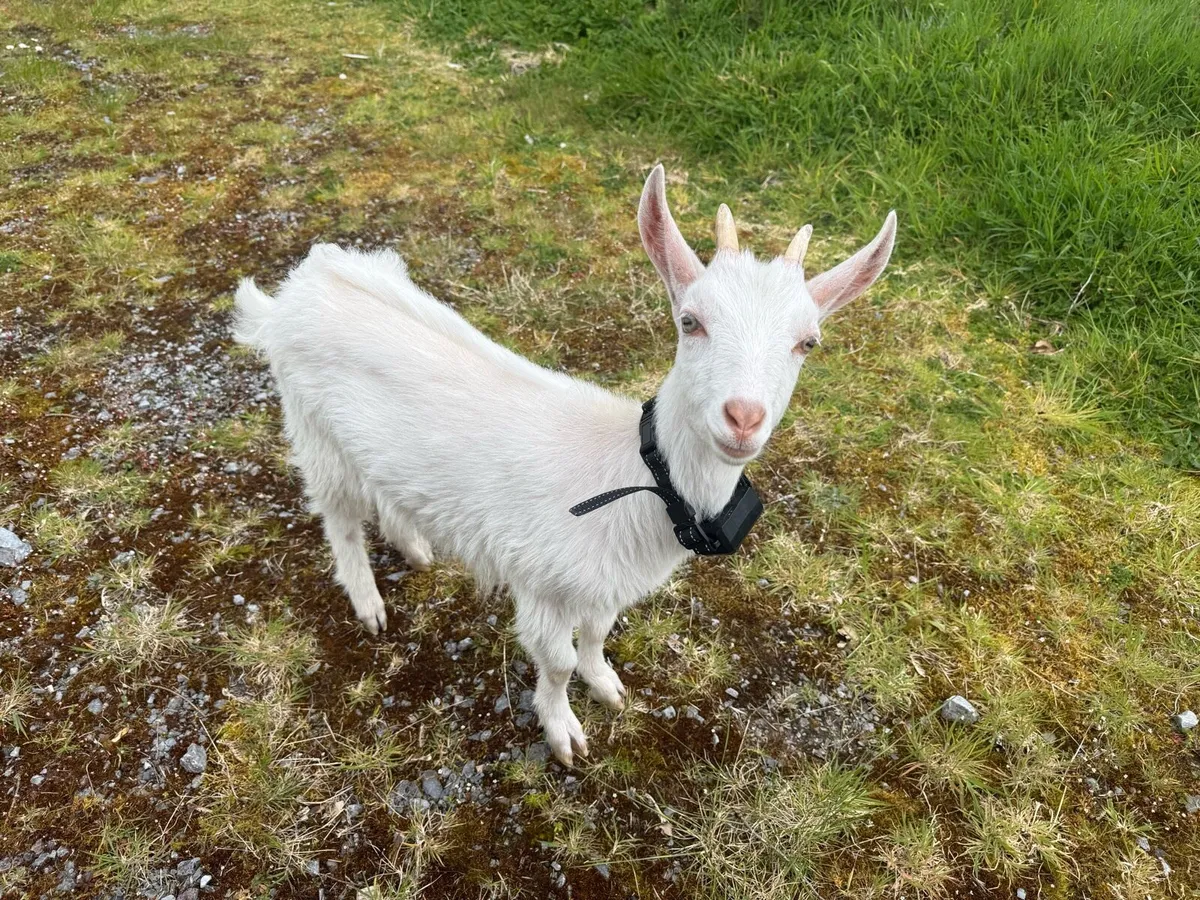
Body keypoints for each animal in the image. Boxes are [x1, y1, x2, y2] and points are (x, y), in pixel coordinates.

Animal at [233, 166, 896, 765]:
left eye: (808, 342)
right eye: (690, 321)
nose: (742, 417)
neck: (638, 483)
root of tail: (299, 286)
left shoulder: (605, 585)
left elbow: (598, 636)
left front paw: (608, 688)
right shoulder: (542, 582)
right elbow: (556, 662)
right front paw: (563, 733)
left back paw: (416, 547)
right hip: (314, 430)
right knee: (340, 518)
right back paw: (368, 603)